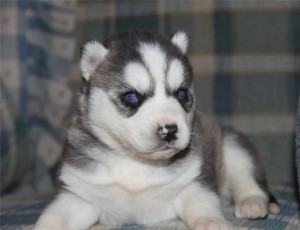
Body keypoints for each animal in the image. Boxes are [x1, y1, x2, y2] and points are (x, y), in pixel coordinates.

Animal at [34, 30, 278, 230]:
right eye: (131, 97)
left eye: (181, 93)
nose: (169, 130)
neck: (135, 162)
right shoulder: (77, 193)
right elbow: (55, 217)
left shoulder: (194, 182)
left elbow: (203, 204)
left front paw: (211, 222)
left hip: (232, 145)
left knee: (248, 178)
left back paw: (252, 203)